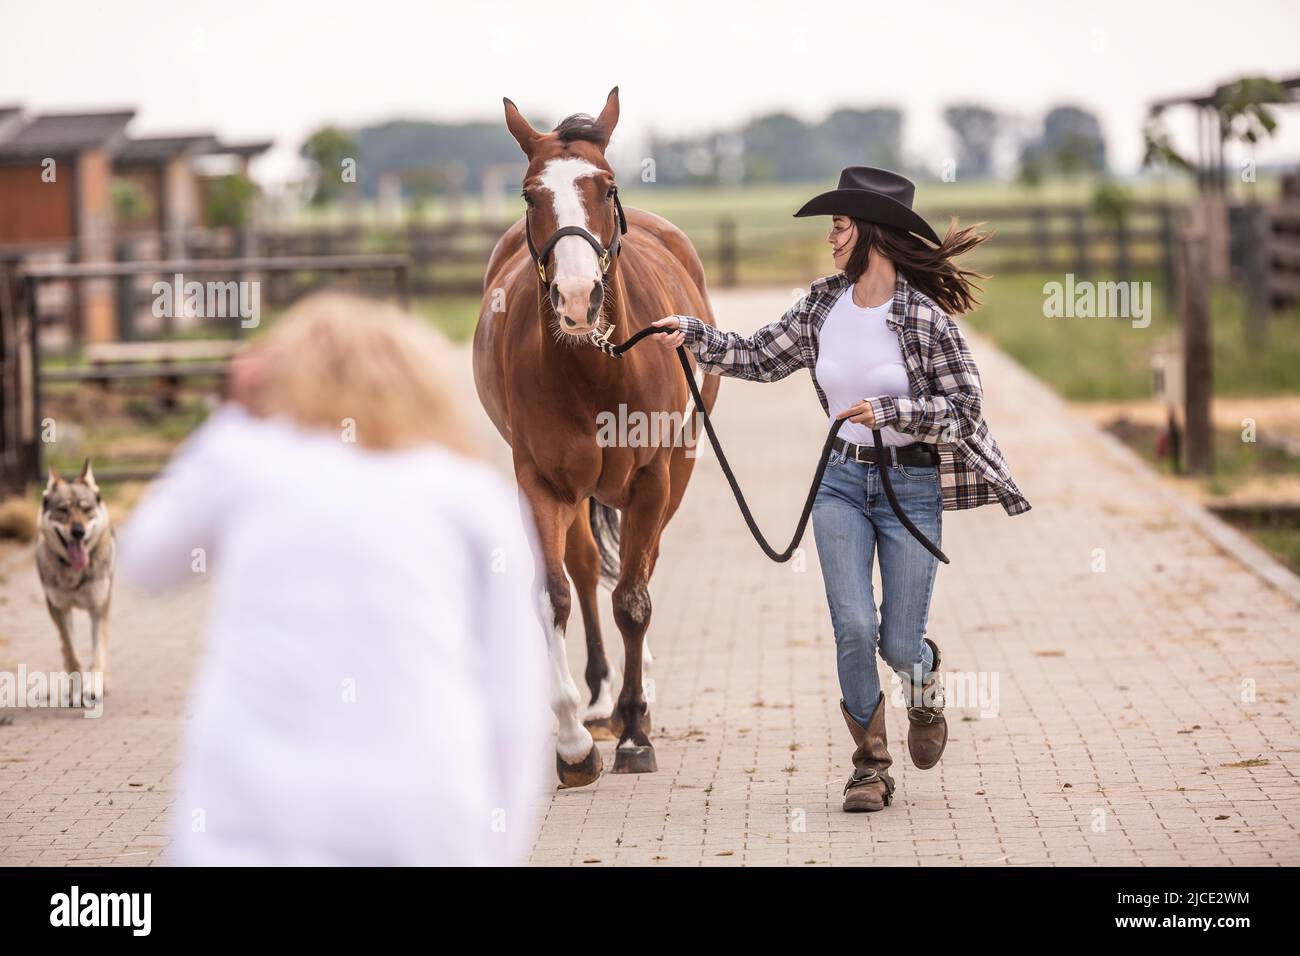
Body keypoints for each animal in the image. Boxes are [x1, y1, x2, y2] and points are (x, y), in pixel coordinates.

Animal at [473, 88, 720, 787]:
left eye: (606, 187)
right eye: (530, 194)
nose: (578, 297)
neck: (596, 366)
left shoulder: (651, 479)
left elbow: (634, 600)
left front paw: (636, 733)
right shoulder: (541, 483)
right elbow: (554, 594)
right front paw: (574, 743)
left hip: (676, 474)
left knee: (644, 568)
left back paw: (635, 702)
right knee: (585, 572)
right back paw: (601, 701)